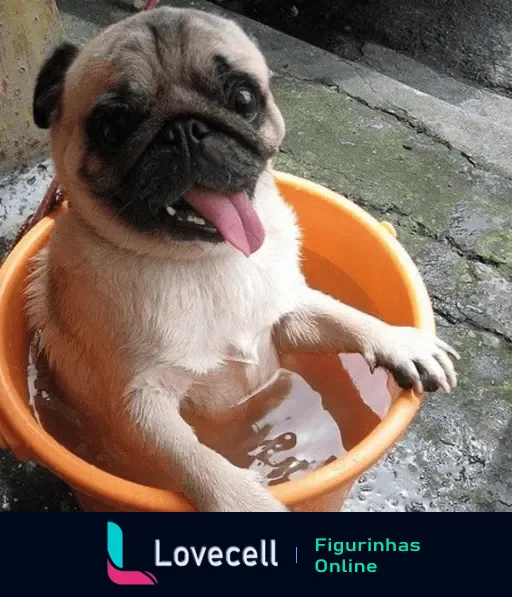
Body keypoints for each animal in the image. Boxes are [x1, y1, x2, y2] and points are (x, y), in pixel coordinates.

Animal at [27, 7, 460, 510]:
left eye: (243, 97)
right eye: (113, 127)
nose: (184, 129)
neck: (204, 262)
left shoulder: (287, 317)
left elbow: (343, 316)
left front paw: (399, 341)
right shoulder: (138, 402)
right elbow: (192, 455)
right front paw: (241, 497)